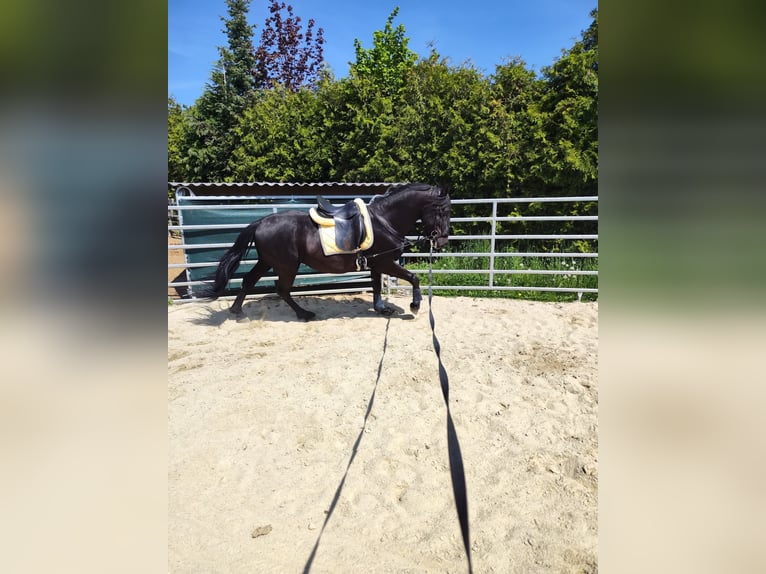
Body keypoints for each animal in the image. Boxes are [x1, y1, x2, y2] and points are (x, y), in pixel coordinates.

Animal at [198, 183, 451, 320]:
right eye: (443, 211)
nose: (441, 241)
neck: (384, 220)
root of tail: (261, 222)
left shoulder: (376, 263)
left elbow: (377, 287)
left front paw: (382, 308)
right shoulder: (386, 262)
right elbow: (414, 277)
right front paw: (415, 305)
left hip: (267, 262)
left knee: (249, 281)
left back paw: (236, 310)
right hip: (287, 265)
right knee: (282, 289)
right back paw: (304, 314)